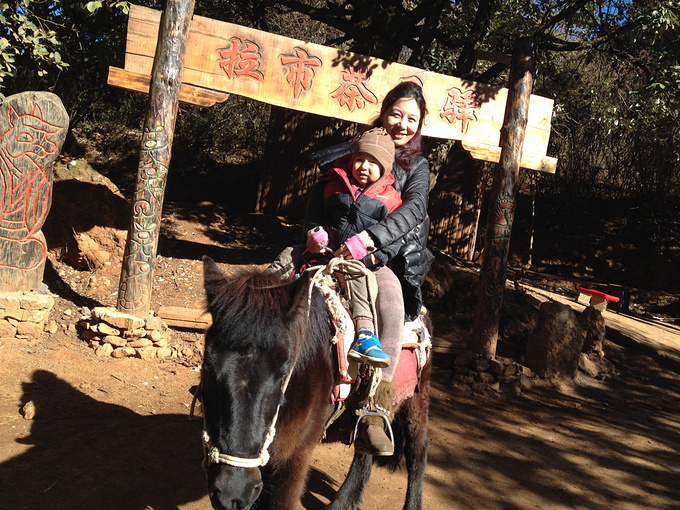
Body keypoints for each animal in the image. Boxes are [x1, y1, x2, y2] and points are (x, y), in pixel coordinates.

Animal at [199, 256, 430, 510]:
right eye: (208, 367)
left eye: (283, 374)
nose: (233, 491)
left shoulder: (294, 458)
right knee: (365, 451)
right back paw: (342, 501)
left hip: (417, 399)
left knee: (417, 450)